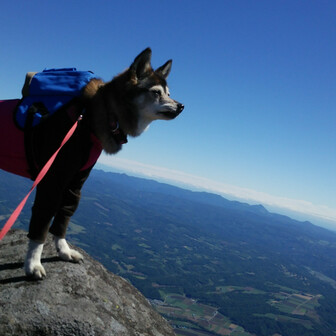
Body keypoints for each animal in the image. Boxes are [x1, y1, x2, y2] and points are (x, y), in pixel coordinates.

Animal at [0, 47, 184, 278]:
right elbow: (42, 223)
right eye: (157, 92)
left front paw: (64, 251)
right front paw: (33, 263)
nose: (181, 106)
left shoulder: (75, 182)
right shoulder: (52, 181)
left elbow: (63, 217)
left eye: (168, 93)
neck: (88, 120)